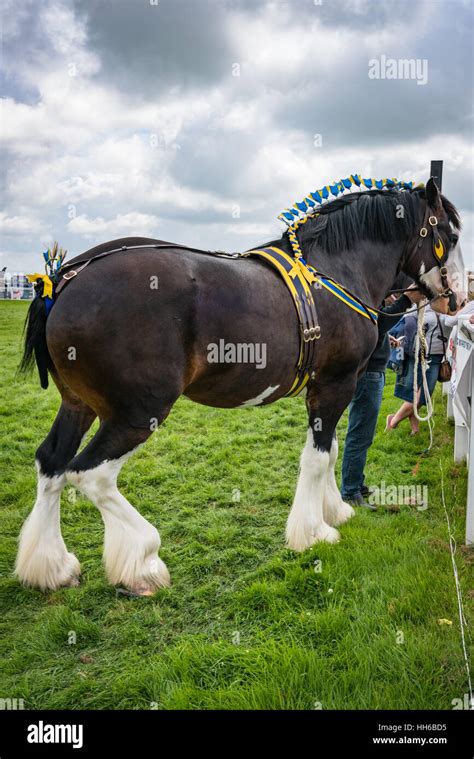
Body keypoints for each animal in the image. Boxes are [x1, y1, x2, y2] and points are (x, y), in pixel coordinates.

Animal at [15, 178, 462, 592]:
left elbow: (331, 450)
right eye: (452, 235)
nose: (456, 298)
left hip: (80, 404)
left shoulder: (328, 388)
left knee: (52, 463)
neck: (336, 270)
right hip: (138, 413)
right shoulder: (336, 385)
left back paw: (52, 565)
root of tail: (64, 280)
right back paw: (142, 560)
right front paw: (315, 532)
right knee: (90, 475)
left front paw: (334, 510)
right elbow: (319, 458)